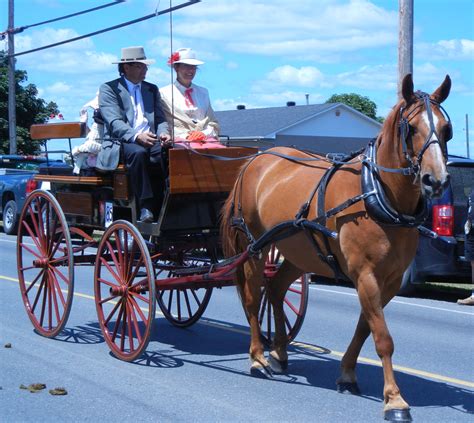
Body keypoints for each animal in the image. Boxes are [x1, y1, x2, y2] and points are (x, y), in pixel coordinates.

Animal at [222, 74, 452, 422]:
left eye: (446, 128)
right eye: (411, 128)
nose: (435, 180)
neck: (377, 193)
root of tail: (256, 158)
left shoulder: (389, 280)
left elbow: (365, 327)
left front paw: (347, 374)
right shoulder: (365, 275)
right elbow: (383, 338)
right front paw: (395, 400)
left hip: (299, 251)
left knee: (275, 289)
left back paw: (280, 353)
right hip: (255, 246)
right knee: (252, 297)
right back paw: (258, 358)